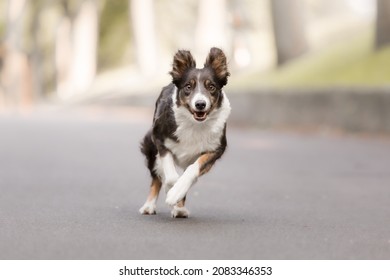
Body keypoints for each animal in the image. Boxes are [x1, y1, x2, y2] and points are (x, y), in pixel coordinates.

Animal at [140, 47, 232, 219]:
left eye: (211, 87)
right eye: (188, 87)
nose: (200, 104)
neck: (195, 124)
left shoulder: (216, 149)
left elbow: (192, 171)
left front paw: (176, 193)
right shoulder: (160, 139)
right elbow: (170, 175)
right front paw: (171, 189)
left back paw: (180, 208)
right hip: (150, 145)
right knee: (156, 177)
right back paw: (149, 206)